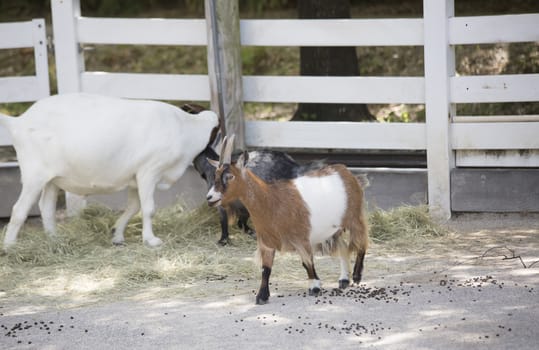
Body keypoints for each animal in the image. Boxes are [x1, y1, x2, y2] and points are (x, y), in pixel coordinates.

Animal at [0, 93, 219, 249]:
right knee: (19, 209)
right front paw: (151, 240)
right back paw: (10, 247)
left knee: (46, 207)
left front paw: (117, 235)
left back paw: (55, 240)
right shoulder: (148, 171)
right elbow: (148, 209)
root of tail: (18, 121)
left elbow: (133, 207)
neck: (186, 128)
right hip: (33, 174)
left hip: (52, 178)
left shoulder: (135, 177)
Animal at [208, 135, 372, 304]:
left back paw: (356, 276)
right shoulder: (267, 241)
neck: (271, 201)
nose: (210, 197)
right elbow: (266, 269)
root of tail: (346, 172)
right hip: (334, 229)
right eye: (215, 175)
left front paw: (314, 286)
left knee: (362, 242)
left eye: (230, 176)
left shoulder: (301, 237)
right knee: (344, 246)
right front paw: (262, 296)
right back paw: (344, 279)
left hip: (354, 217)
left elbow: (307, 263)